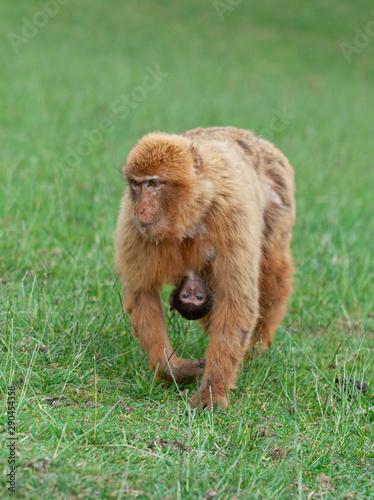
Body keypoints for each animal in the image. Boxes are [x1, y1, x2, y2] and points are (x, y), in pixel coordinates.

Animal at [115, 125, 296, 410]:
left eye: (153, 184)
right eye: (136, 184)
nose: (141, 208)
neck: (192, 209)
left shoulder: (230, 215)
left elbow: (236, 300)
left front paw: (213, 388)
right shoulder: (134, 227)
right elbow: (142, 294)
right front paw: (173, 369)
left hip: (278, 198)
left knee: (271, 266)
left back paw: (259, 342)